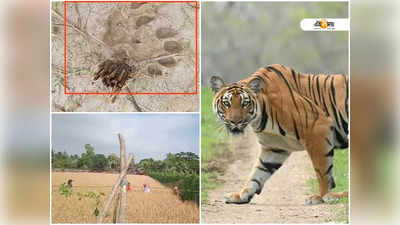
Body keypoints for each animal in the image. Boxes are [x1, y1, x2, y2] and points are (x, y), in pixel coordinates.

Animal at [211, 64, 348, 205]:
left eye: (245, 103)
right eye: (227, 103)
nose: (235, 121)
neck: (259, 118)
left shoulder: (318, 127)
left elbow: (322, 171)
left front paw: (321, 196)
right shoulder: (274, 147)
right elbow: (258, 173)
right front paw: (241, 196)